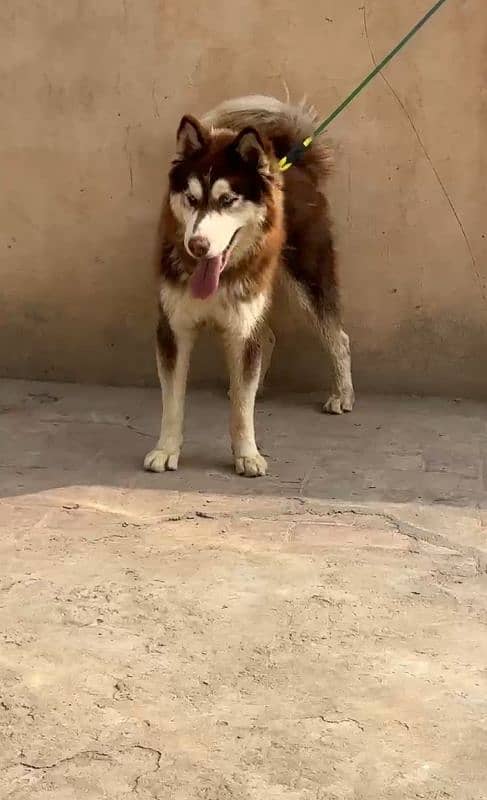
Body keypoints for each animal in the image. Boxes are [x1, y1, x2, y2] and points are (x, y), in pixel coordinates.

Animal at [145, 97, 354, 478]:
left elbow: (244, 409)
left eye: (228, 200)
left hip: (307, 280)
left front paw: (247, 454)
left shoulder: (243, 328)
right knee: (269, 337)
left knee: (337, 336)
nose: (197, 245)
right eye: (191, 199)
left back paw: (343, 394)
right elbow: (173, 401)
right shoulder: (173, 328)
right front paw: (166, 449)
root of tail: (292, 162)